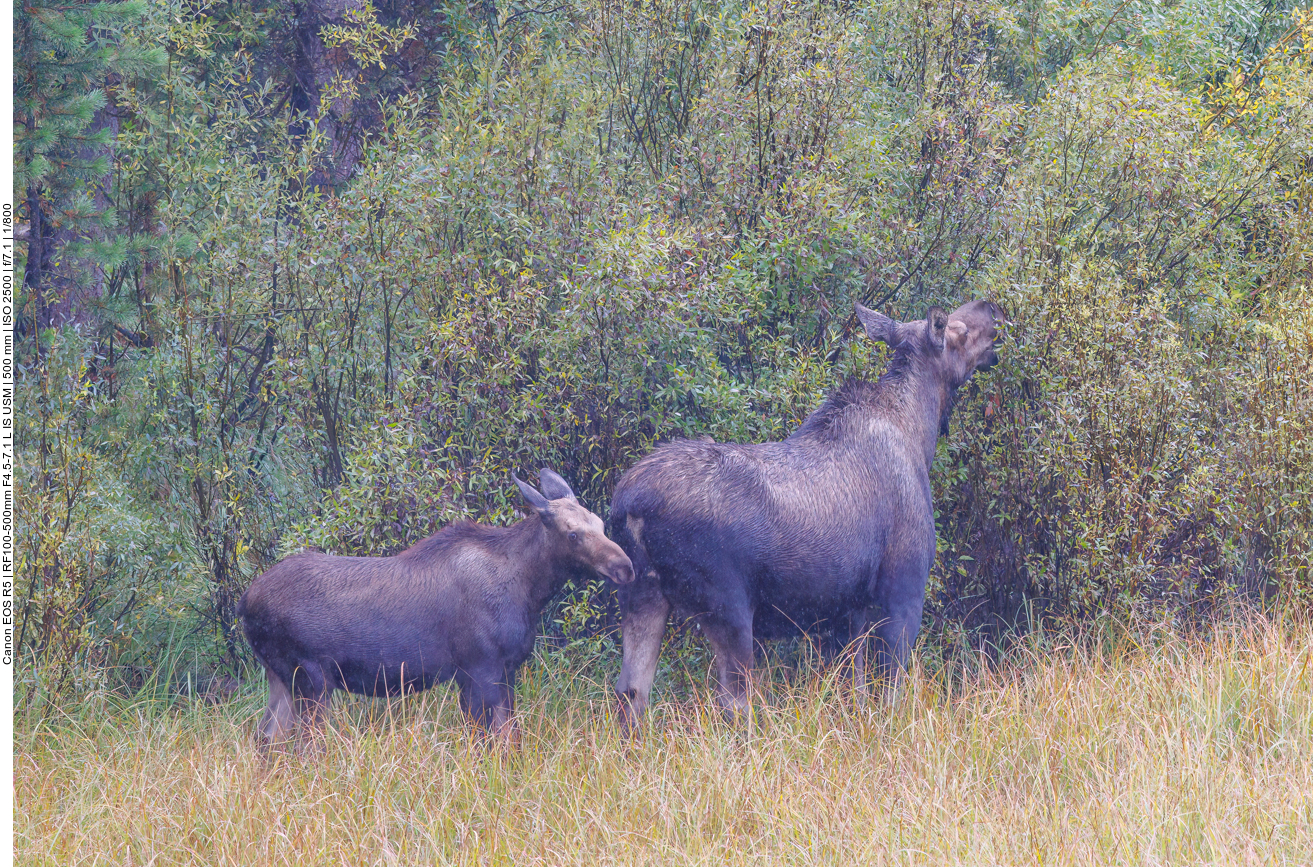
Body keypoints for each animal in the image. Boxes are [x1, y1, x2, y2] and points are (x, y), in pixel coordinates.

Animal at [244, 467, 638, 746]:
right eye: (573, 534)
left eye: (601, 523)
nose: (625, 567)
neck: (530, 589)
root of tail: (243, 606)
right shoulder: (480, 666)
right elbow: (492, 739)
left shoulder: (502, 670)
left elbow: (507, 736)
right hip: (310, 677)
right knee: (303, 745)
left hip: (280, 676)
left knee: (266, 737)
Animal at [606, 300, 1003, 730]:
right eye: (958, 330)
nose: (992, 310)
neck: (920, 433)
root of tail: (629, 509)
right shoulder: (903, 590)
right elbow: (890, 692)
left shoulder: (848, 610)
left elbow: (854, 692)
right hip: (727, 605)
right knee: (734, 702)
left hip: (640, 593)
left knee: (631, 691)